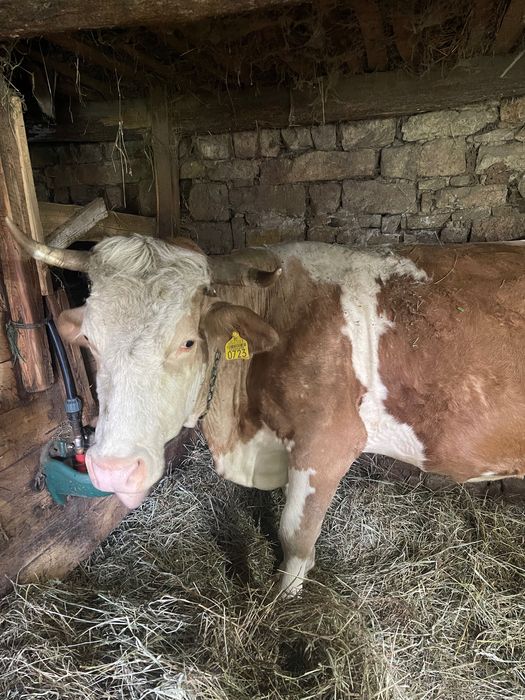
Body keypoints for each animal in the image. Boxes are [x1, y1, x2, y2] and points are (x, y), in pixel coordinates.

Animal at [7, 217, 525, 594]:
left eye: (189, 341)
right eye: (90, 341)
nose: (112, 470)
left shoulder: (329, 443)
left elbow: (295, 535)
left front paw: (282, 600)